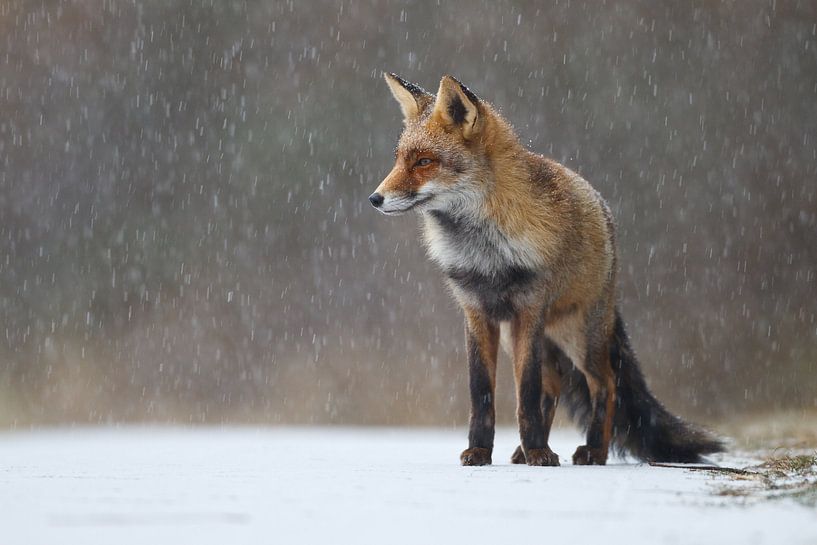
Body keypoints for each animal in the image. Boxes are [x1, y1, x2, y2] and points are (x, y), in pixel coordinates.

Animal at [366, 70, 724, 466]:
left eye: (424, 162)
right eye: (399, 160)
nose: (375, 198)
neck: (486, 251)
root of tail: (605, 212)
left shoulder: (530, 308)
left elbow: (527, 389)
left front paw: (538, 450)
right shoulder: (476, 311)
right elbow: (482, 392)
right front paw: (483, 450)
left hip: (577, 336)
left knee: (605, 383)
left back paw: (593, 450)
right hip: (530, 336)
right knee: (553, 383)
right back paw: (525, 450)